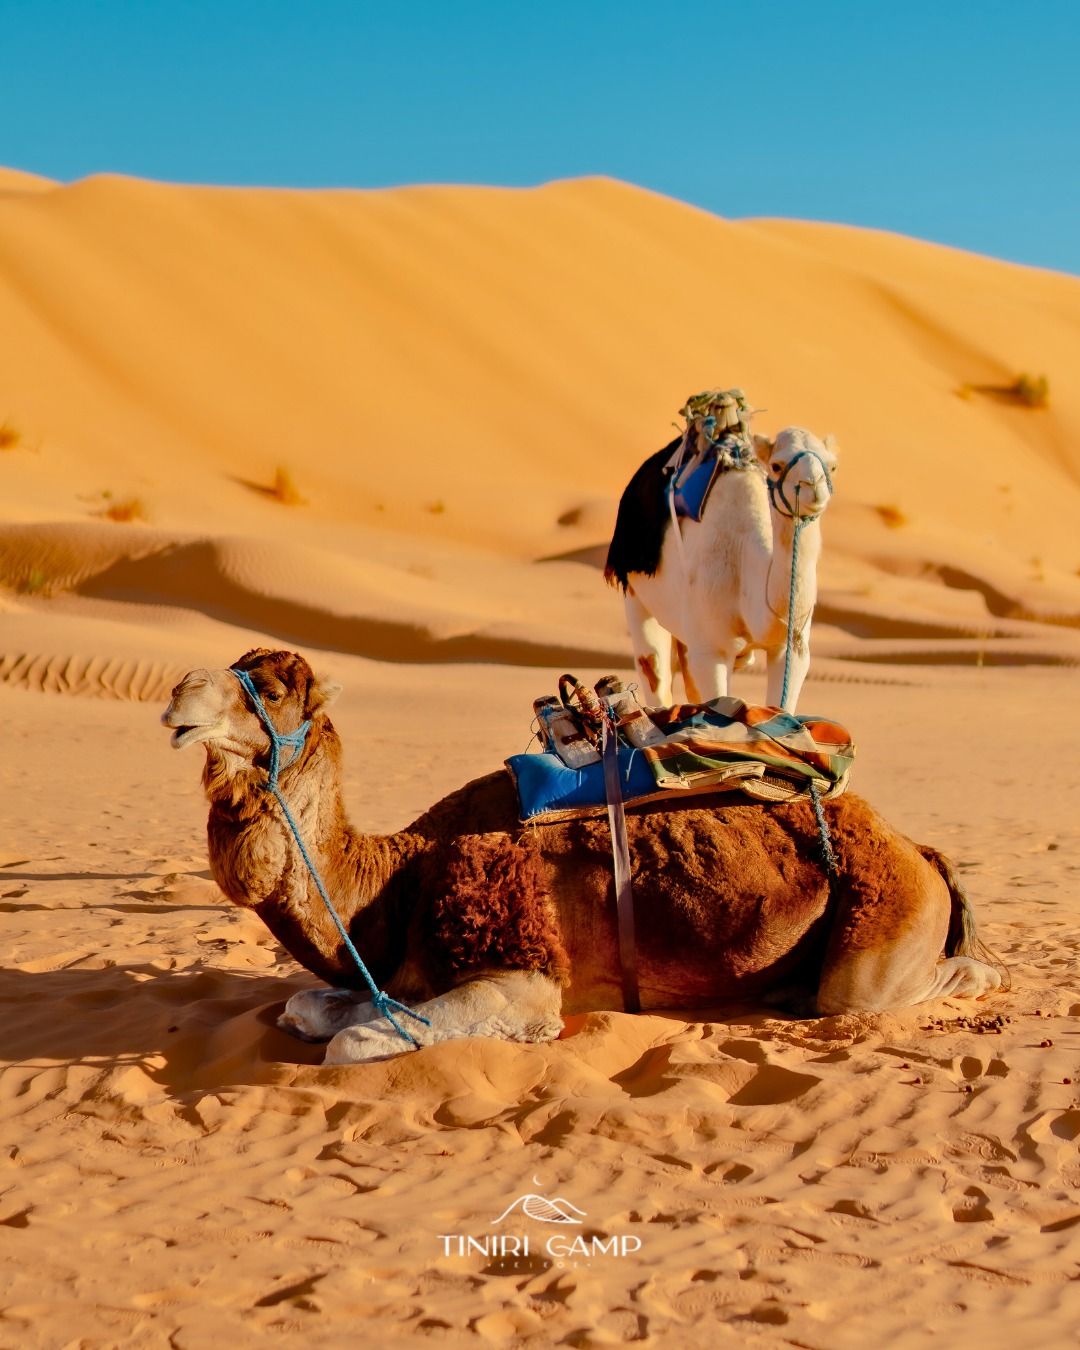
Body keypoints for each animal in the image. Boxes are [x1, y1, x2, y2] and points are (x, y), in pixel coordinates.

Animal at [161, 648, 1004, 1065]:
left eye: (272, 689)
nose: (178, 693)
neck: (395, 882)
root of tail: (915, 847)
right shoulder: (405, 973)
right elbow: (312, 1009)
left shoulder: (523, 969)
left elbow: (351, 1041)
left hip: (881, 928)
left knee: (903, 985)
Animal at [605, 406, 838, 712]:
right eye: (776, 465)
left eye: (832, 466)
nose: (813, 486)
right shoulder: (711, 651)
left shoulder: (792, 649)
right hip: (635, 592)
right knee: (653, 669)